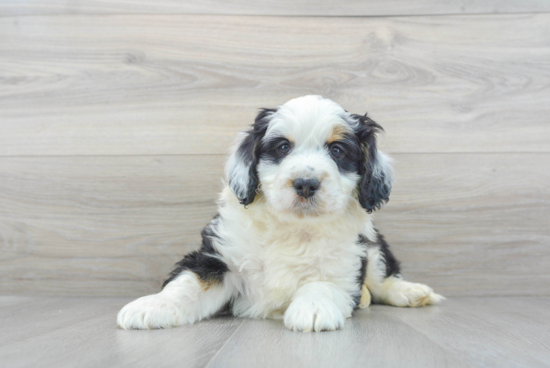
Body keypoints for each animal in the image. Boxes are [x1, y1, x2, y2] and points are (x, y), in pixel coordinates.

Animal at [116, 95, 444, 334]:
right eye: (283, 147)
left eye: (337, 151)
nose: (306, 183)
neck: (293, 227)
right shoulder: (219, 258)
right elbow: (189, 283)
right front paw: (151, 306)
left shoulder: (347, 259)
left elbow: (323, 282)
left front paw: (312, 309)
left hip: (373, 245)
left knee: (382, 276)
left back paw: (411, 292)